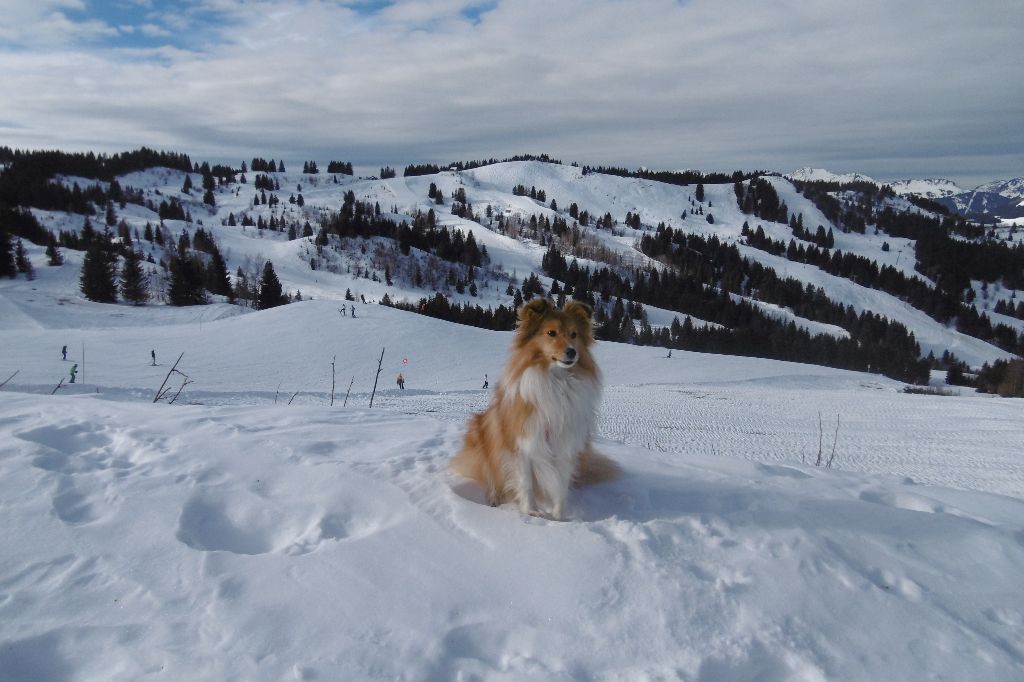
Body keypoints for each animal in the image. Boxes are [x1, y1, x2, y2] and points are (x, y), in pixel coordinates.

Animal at [450, 296, 622, 516]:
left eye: (574, 334)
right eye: (551, 333)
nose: (572, 352)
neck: (557, 382)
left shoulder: (565, 444)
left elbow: (561, 485)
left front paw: (558, 517)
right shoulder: (521, 444)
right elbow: (526, 483)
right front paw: (531, 513)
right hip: (481, 433)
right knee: (490, 476)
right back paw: (494, 499)